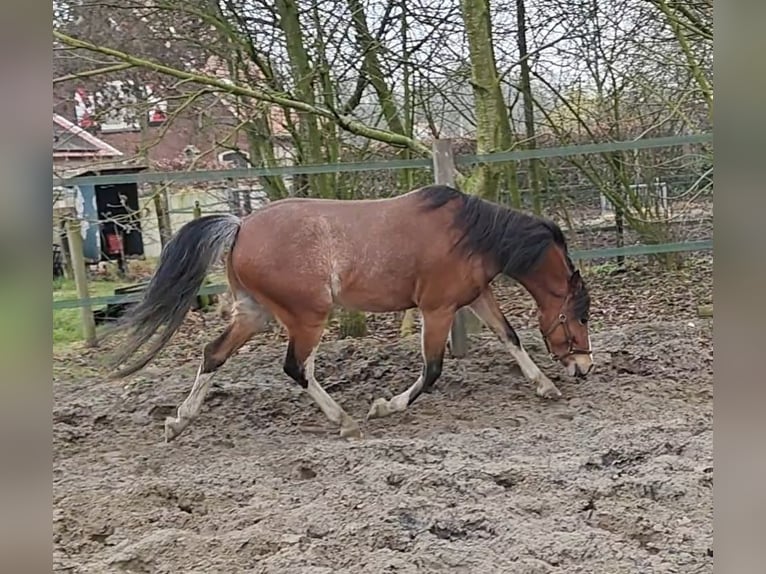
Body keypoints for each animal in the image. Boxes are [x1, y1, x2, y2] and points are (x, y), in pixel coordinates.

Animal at [107, 184, 593, 442]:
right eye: (582, 317)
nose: (585, 368)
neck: (471, 237)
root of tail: (240, 225)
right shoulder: (437, 310)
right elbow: (432, 369)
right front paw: (386, 406)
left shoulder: (475, 297)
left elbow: (510, 337)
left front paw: (545, 386)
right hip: (308, 315)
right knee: (295, 367)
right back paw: (346, 421)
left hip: (255, 313)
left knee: (215, 354)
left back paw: (178, 420)